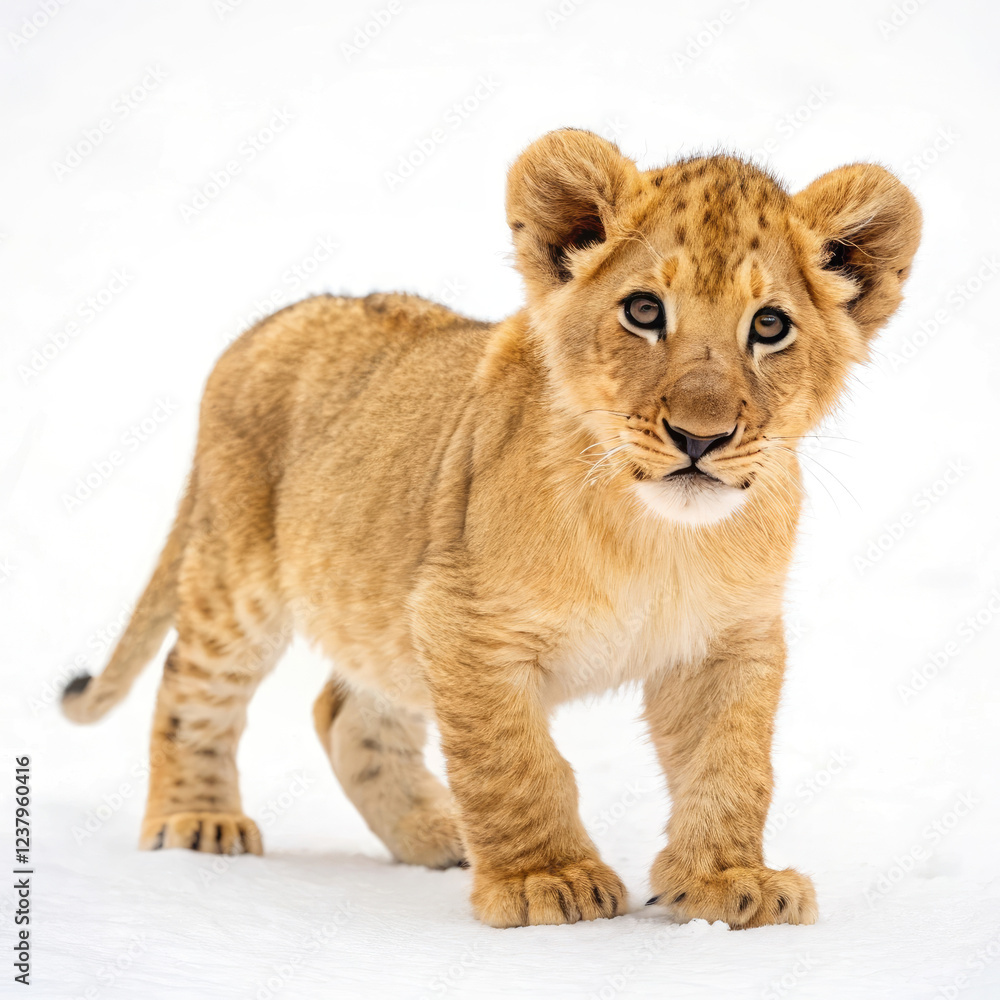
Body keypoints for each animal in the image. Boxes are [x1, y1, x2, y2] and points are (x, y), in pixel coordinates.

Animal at [62, 128, 921, 929]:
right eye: (645, 311)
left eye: (769, 326)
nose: (699, 438)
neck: (657, 536)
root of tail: (266, 324)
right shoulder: (464, 621)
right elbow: (515, 763)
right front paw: (546, 880)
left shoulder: (731, 639)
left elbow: (731, 764)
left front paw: (729, 881)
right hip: (240, 579)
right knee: (190, 684)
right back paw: (197, 819)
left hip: (381, 613)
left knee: (345, 713)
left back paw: (438, 835)